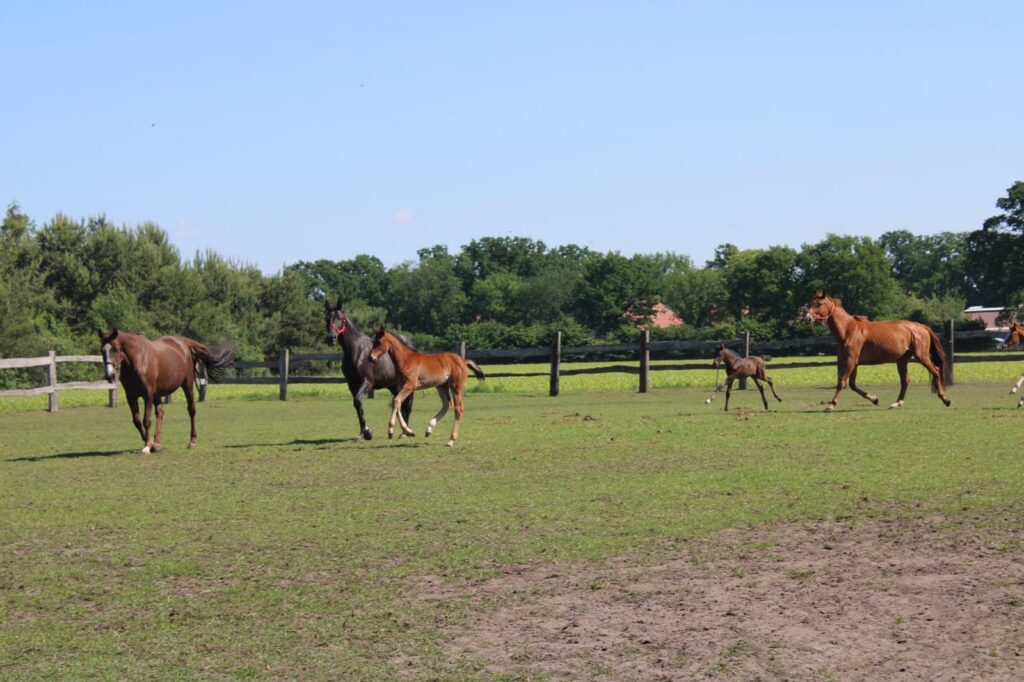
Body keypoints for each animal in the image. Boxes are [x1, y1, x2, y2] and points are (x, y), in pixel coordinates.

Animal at [96, 327, 234, 450]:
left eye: (115, 348)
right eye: (102, 350)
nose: (109, 376)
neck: (139, 360)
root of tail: (184, 343)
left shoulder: (148, 395)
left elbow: (146, 420)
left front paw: (147, 445)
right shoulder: (131, 396)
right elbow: (137, 421)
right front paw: (149, 441)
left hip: (187, 385)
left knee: (191, 410)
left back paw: (192, 441)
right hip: (158, 394)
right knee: (160, 412)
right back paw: (157, 443)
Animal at [321, 301, 413, 438]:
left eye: (340, 318)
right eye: (326, 318)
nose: (331, 338)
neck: (356, 350)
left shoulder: (367, 382)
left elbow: (358, 401)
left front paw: (367, 431)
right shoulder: (352, 384)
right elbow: (357, 405)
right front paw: (362, 433)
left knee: (407, 404)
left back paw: (405, 433)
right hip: (393, 386)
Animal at [806, 288, 950, 411]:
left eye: (819, 303)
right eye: (811, 303)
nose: (808, 318)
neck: (849, 330)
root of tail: (921, 327)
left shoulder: (851, 361)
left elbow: (842, 382)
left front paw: (831, 405)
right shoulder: (853, 363)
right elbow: (852, 385)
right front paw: (874, 399)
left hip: (922, 356)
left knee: (936, 372)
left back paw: (945, 399)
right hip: (902, 361)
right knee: (905, 381)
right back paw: (896, 403)